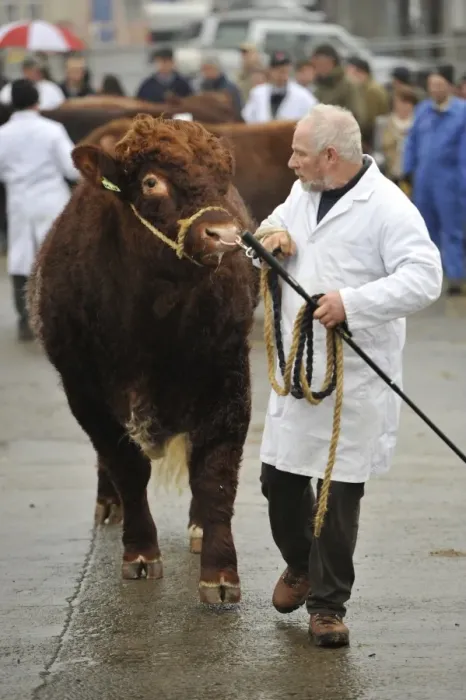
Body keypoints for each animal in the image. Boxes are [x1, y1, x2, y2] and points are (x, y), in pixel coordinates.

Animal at [27, 115, 260, 604]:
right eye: (152, 182)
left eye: (223, 179)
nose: (225, 237)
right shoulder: (85, 391)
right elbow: (126, 467)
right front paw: (139, 553)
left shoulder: (229, 378)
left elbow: (215, 472)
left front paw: (220, 573)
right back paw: (107, 504)